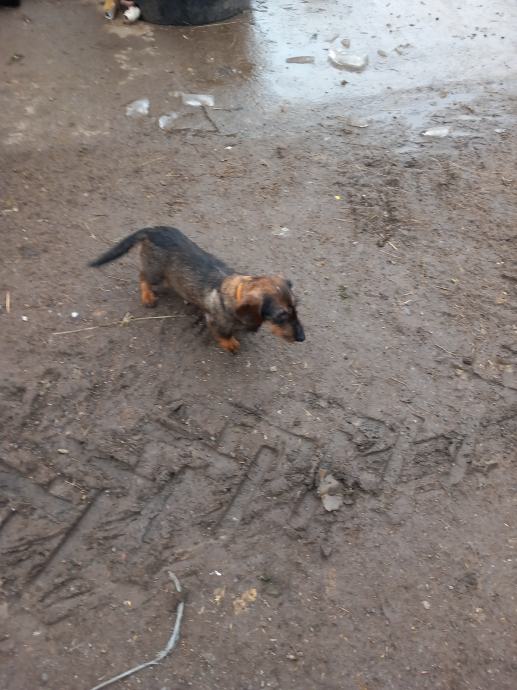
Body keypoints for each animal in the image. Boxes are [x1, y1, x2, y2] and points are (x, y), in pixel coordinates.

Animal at [89, 226, 305, 353]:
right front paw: (230, 343)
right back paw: (148, 296)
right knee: (142, 277)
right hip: (155, 272)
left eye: (295, 309)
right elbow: (224, 333)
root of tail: (152, 230)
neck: (233, 293)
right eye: (281, 316)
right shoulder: (216, 321)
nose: (302, 338)